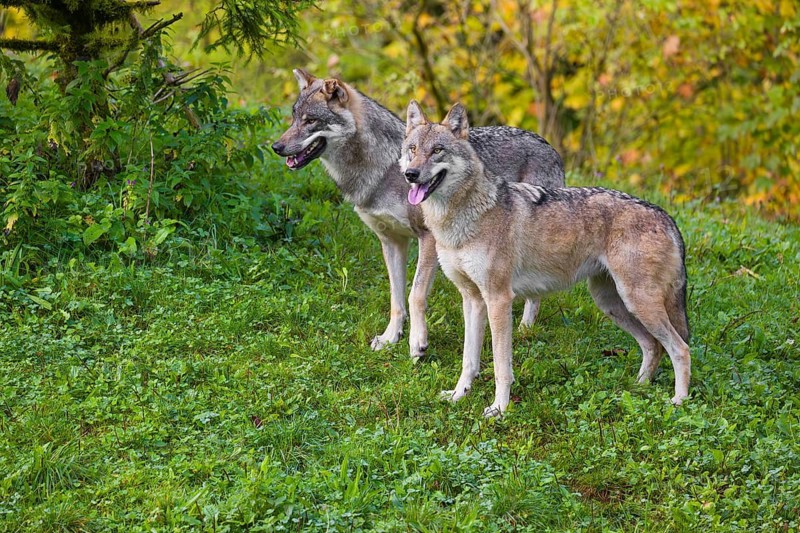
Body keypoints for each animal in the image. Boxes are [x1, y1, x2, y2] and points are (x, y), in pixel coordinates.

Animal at [272, 69, 564, 359]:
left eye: (311, 121)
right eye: (294, 117)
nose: (276, 147)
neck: (383, 169)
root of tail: (551, 148)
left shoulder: (428, 239)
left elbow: (416, 295)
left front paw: (418, 343)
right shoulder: (391, 242)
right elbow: (396, 297)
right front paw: (390, 337)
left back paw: (525, 329)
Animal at [401, 100, 691, 417]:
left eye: (437, 150)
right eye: (413, 149)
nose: (410, 174)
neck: (461, 218)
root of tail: (667, 216)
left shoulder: (499, 299)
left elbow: (501, 366)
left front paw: (499, 409)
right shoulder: (473, 299)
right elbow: (469, 360)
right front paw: (458, 395)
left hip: (637, 302)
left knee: (680, 349)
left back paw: (679, 402)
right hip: (612, 303)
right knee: (653, 346)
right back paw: (637, 389)